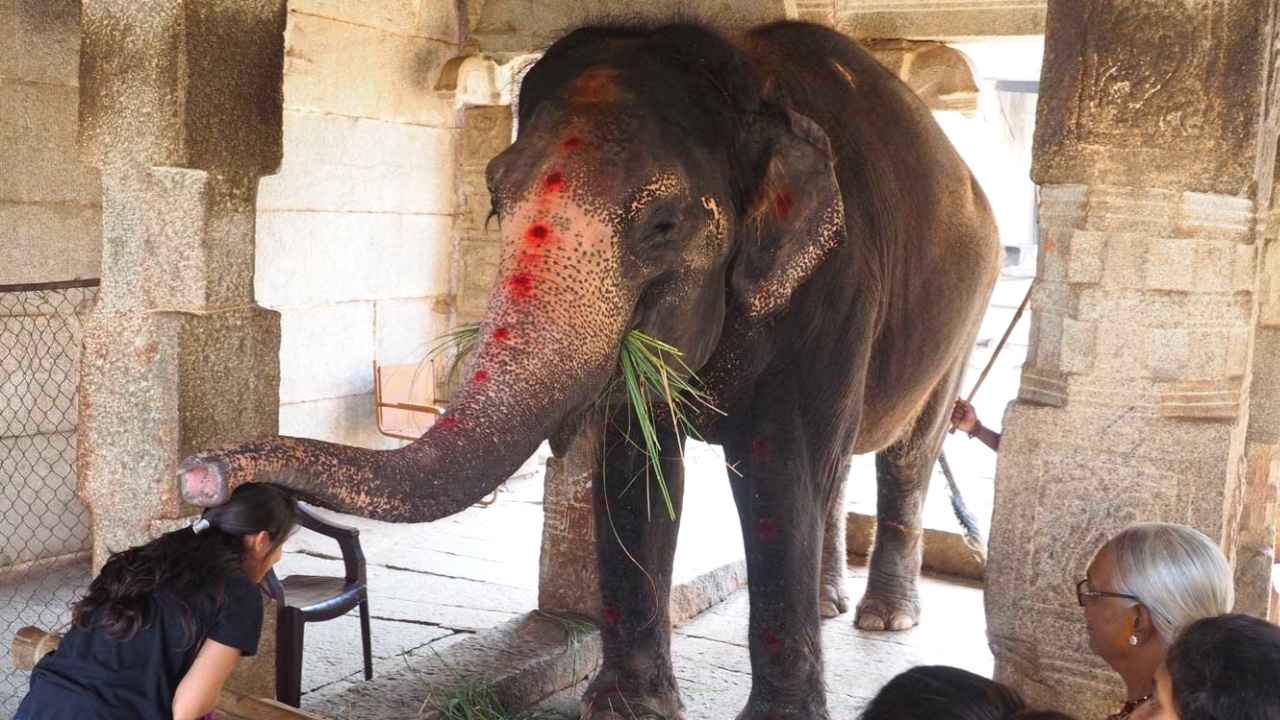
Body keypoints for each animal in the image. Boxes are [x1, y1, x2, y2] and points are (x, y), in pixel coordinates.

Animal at [177, 20, 998, 717]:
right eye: (494, 196)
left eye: (662, 225)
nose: (201, 476)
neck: (744, 78)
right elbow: (635, 466)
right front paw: (629, 707)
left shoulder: (835, 285)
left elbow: (781, 471)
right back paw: (835, 605)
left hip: (968, 316)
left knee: (906, 453)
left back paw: (886, 618)